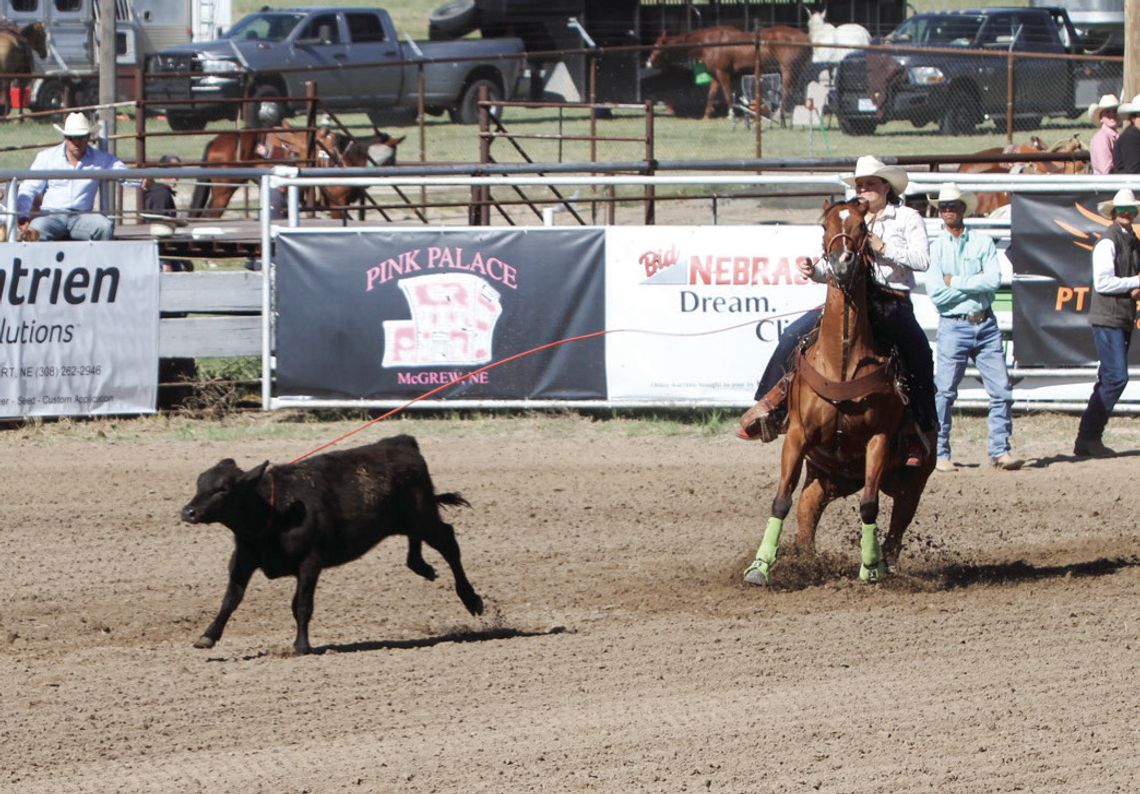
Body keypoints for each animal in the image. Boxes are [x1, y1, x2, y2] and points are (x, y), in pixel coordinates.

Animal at [642, 24, 811, 123]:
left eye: (657, 46)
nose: (648, 62)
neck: (710, 43)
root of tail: (806, 37)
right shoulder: (716, 76)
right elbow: (711, 95)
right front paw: (706, 116)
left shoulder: (723, 73)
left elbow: (727, 94)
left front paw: (731, 114)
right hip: (796, 70)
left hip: (788, 69)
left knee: (787, 91)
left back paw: (778, 114)